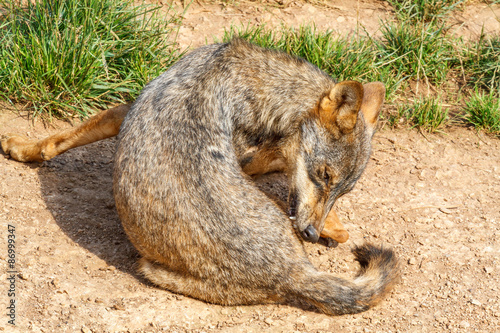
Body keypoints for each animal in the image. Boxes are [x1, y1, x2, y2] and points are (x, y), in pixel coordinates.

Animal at [0, 39, 398, 314]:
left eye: (342, 190)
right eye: (324, 176)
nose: (312, 234)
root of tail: (292, 272)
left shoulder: (129, 111)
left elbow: (66, 136)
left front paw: (20, 147)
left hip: (152, 267)